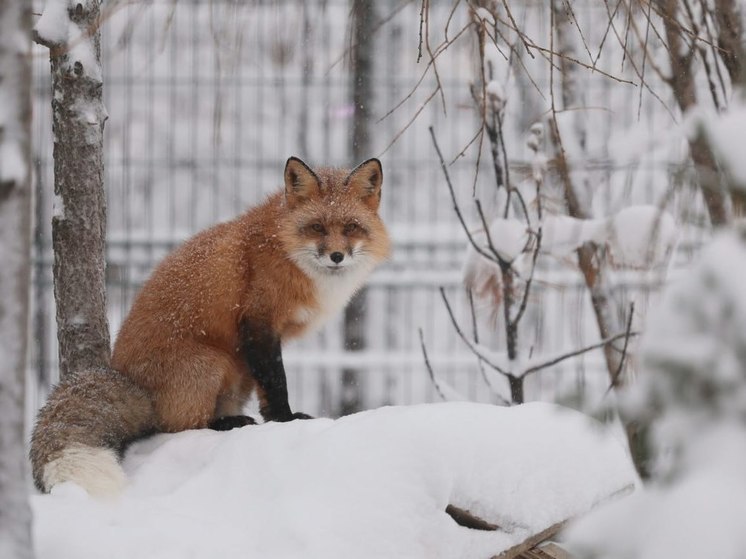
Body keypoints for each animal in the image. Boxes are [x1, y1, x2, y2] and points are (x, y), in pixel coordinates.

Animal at [29, 158, 390, 498]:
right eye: (316, 227)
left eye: (351, 227)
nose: (337, 256)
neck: (286, 251)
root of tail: (125, 375)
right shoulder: (258, 322)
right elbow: (277, 383)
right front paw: (286, 420)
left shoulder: (263, 340)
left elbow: (268, 390)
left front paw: (274, 420)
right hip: (212, 363)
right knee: (175, 427)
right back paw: (224, 423)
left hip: (238, 371)